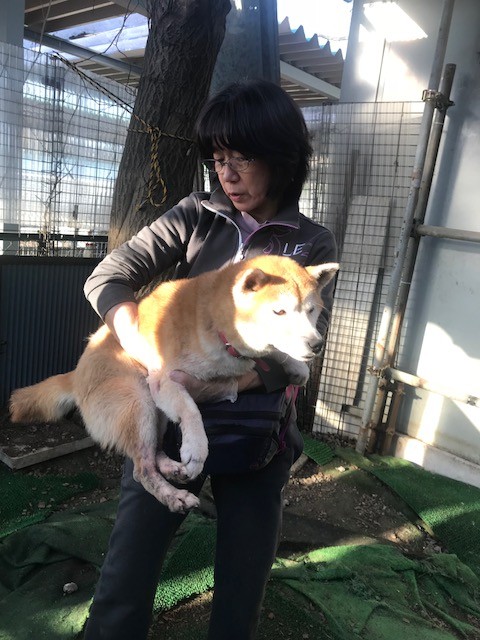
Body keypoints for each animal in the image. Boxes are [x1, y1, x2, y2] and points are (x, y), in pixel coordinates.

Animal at [9, 255, 338, 512]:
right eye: (279, 311)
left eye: (311, 310)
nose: (317, 345)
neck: (215, 323)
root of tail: (76, 374)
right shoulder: (165, 380)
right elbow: (192, 411)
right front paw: (197, 448)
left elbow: (273, 352)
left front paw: (295, 367)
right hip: (139, 401)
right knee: (143, 470)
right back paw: (174, 496)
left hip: (153, 414)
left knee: (150, 456)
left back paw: (172, 468)